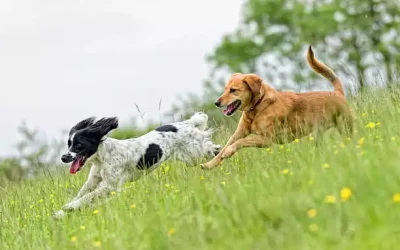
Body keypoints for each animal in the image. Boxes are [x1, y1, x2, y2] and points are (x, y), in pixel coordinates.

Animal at [53, 112, 220, 219]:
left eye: (78, 145)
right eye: (69, 144)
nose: (63, 157)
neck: (102, 157)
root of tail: (188, 123)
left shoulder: (110, 186)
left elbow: (87, 197)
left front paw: (69, 207)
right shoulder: (93, 181)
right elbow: (82, 193)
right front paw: (60, 213)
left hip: (193, 153)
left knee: (210, 148)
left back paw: (219, 153)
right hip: (190, 158)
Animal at [202, 46, 352, 169]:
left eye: (233, 90)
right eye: (225, 89)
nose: (216, 102)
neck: (257, 107)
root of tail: (338, 92)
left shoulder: (266, 139)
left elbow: (240, 142)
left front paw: (228, 152)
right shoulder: (239, 133)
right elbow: (225, 147)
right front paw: (209, 164)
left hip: (346, 127)